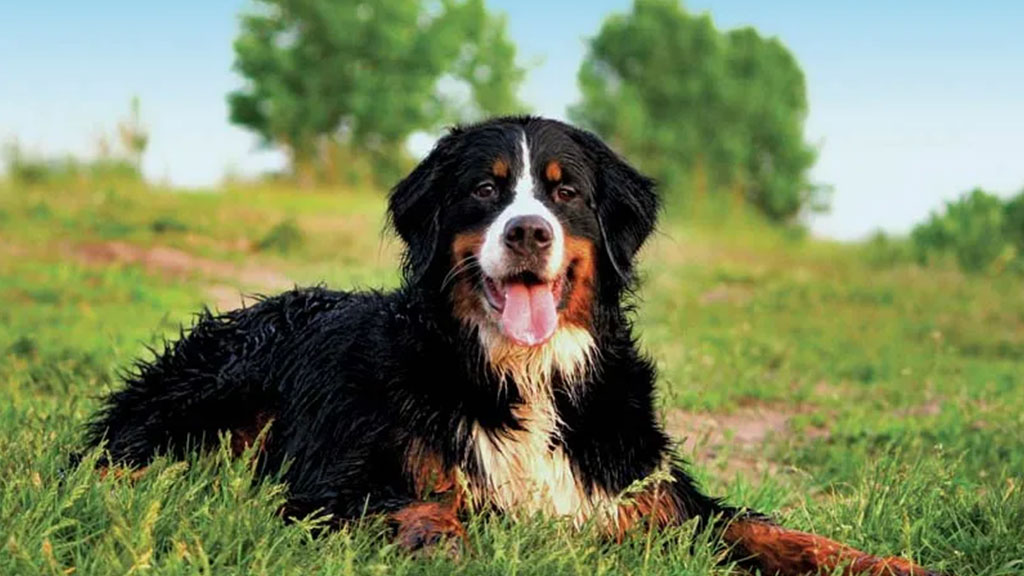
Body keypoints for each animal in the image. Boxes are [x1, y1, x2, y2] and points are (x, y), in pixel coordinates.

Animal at [83, 117, 937, 573]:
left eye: (566, 191)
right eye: (486, 188)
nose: (529, 231)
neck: (525, 374)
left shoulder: (643, 490)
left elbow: (765, 528)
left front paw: (882, 562)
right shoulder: (335, 483)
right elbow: (427, 511)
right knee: (121, 455)